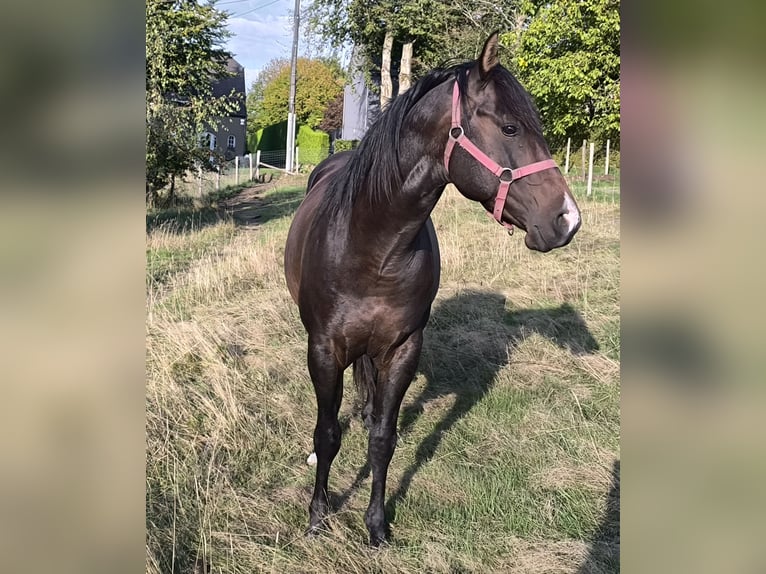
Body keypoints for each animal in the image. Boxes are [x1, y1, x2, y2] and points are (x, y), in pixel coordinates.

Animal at [283, 32, 581, 546]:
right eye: (509, 128)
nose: (568, 220)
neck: (373, 246)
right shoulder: (322, 349)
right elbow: (327, 435)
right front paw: (318, 516)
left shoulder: (404, 347)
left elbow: (384, 440)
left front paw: (376, 524)